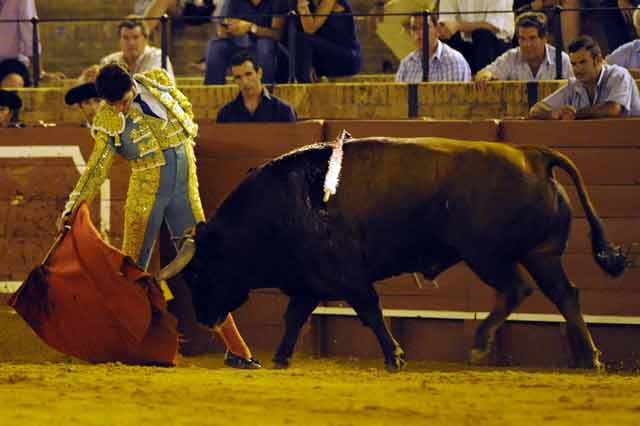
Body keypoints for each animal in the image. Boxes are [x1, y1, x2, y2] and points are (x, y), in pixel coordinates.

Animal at [159, 138, 624, 372]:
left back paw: (479, 345)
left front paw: (395, 356)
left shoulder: (347, 276)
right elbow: (294, 318)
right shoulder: (309, 282)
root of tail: (532, 155)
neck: (281, 207)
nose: (205, 319)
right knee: (565, 296)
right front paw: (280, 356)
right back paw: (590, 358)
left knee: (516, 290)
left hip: (487, 255)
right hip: (542, 254)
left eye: (197, 274)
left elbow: (371, 311)